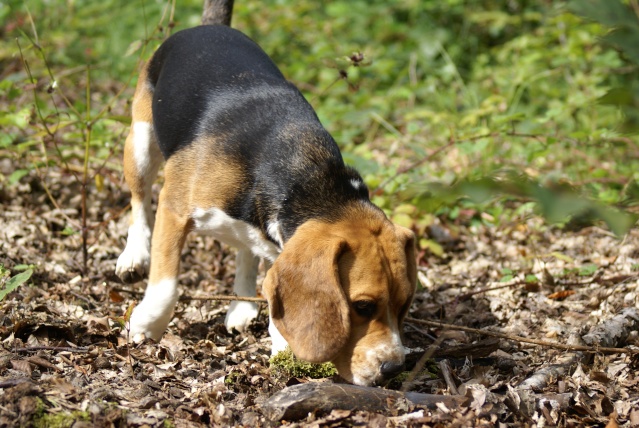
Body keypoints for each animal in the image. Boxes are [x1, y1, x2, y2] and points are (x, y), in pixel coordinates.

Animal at [115, 21, 418, 386]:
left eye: (405, 304)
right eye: (362, 307)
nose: (394, 369)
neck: (307, 179)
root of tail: (211, 24)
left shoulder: (281, 245)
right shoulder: (174, 210)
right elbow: (165, 286)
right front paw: (146, 325)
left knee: (247, 250)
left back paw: (242, 306)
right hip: (141, 144)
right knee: (139, 201)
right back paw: (134, 254)